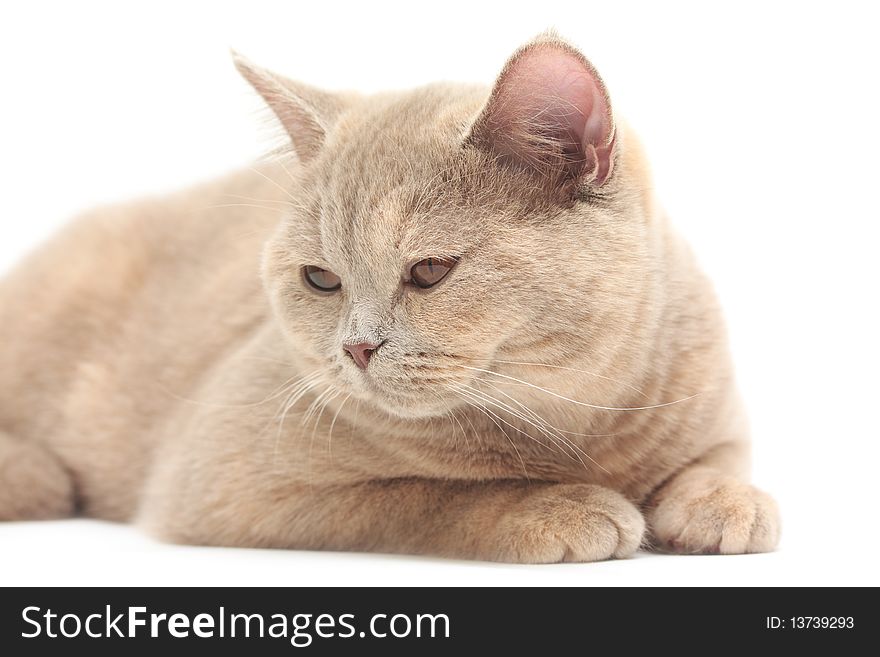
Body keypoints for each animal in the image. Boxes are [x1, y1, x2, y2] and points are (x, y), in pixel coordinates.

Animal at [1, 33, 784, 560]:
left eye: (430, 271)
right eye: (322, 279)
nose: (356, 346)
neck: (574, 419)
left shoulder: (715, 408)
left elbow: (716, 460)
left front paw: (725, 502)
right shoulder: (223, 476)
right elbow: (426, 494)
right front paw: (555, 506)